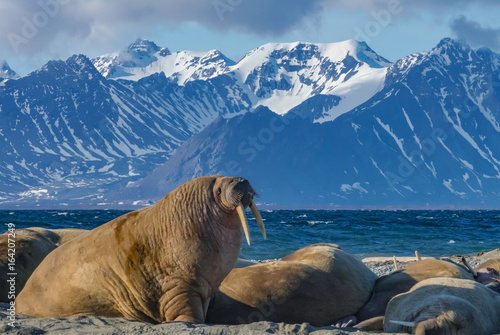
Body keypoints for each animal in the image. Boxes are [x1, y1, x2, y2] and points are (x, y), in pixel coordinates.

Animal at [15, 177, 266, 324]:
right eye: (219, 189)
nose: (242, 181)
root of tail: (19, 298)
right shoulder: (179, 287)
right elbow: (189, 315)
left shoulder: (205, 288)